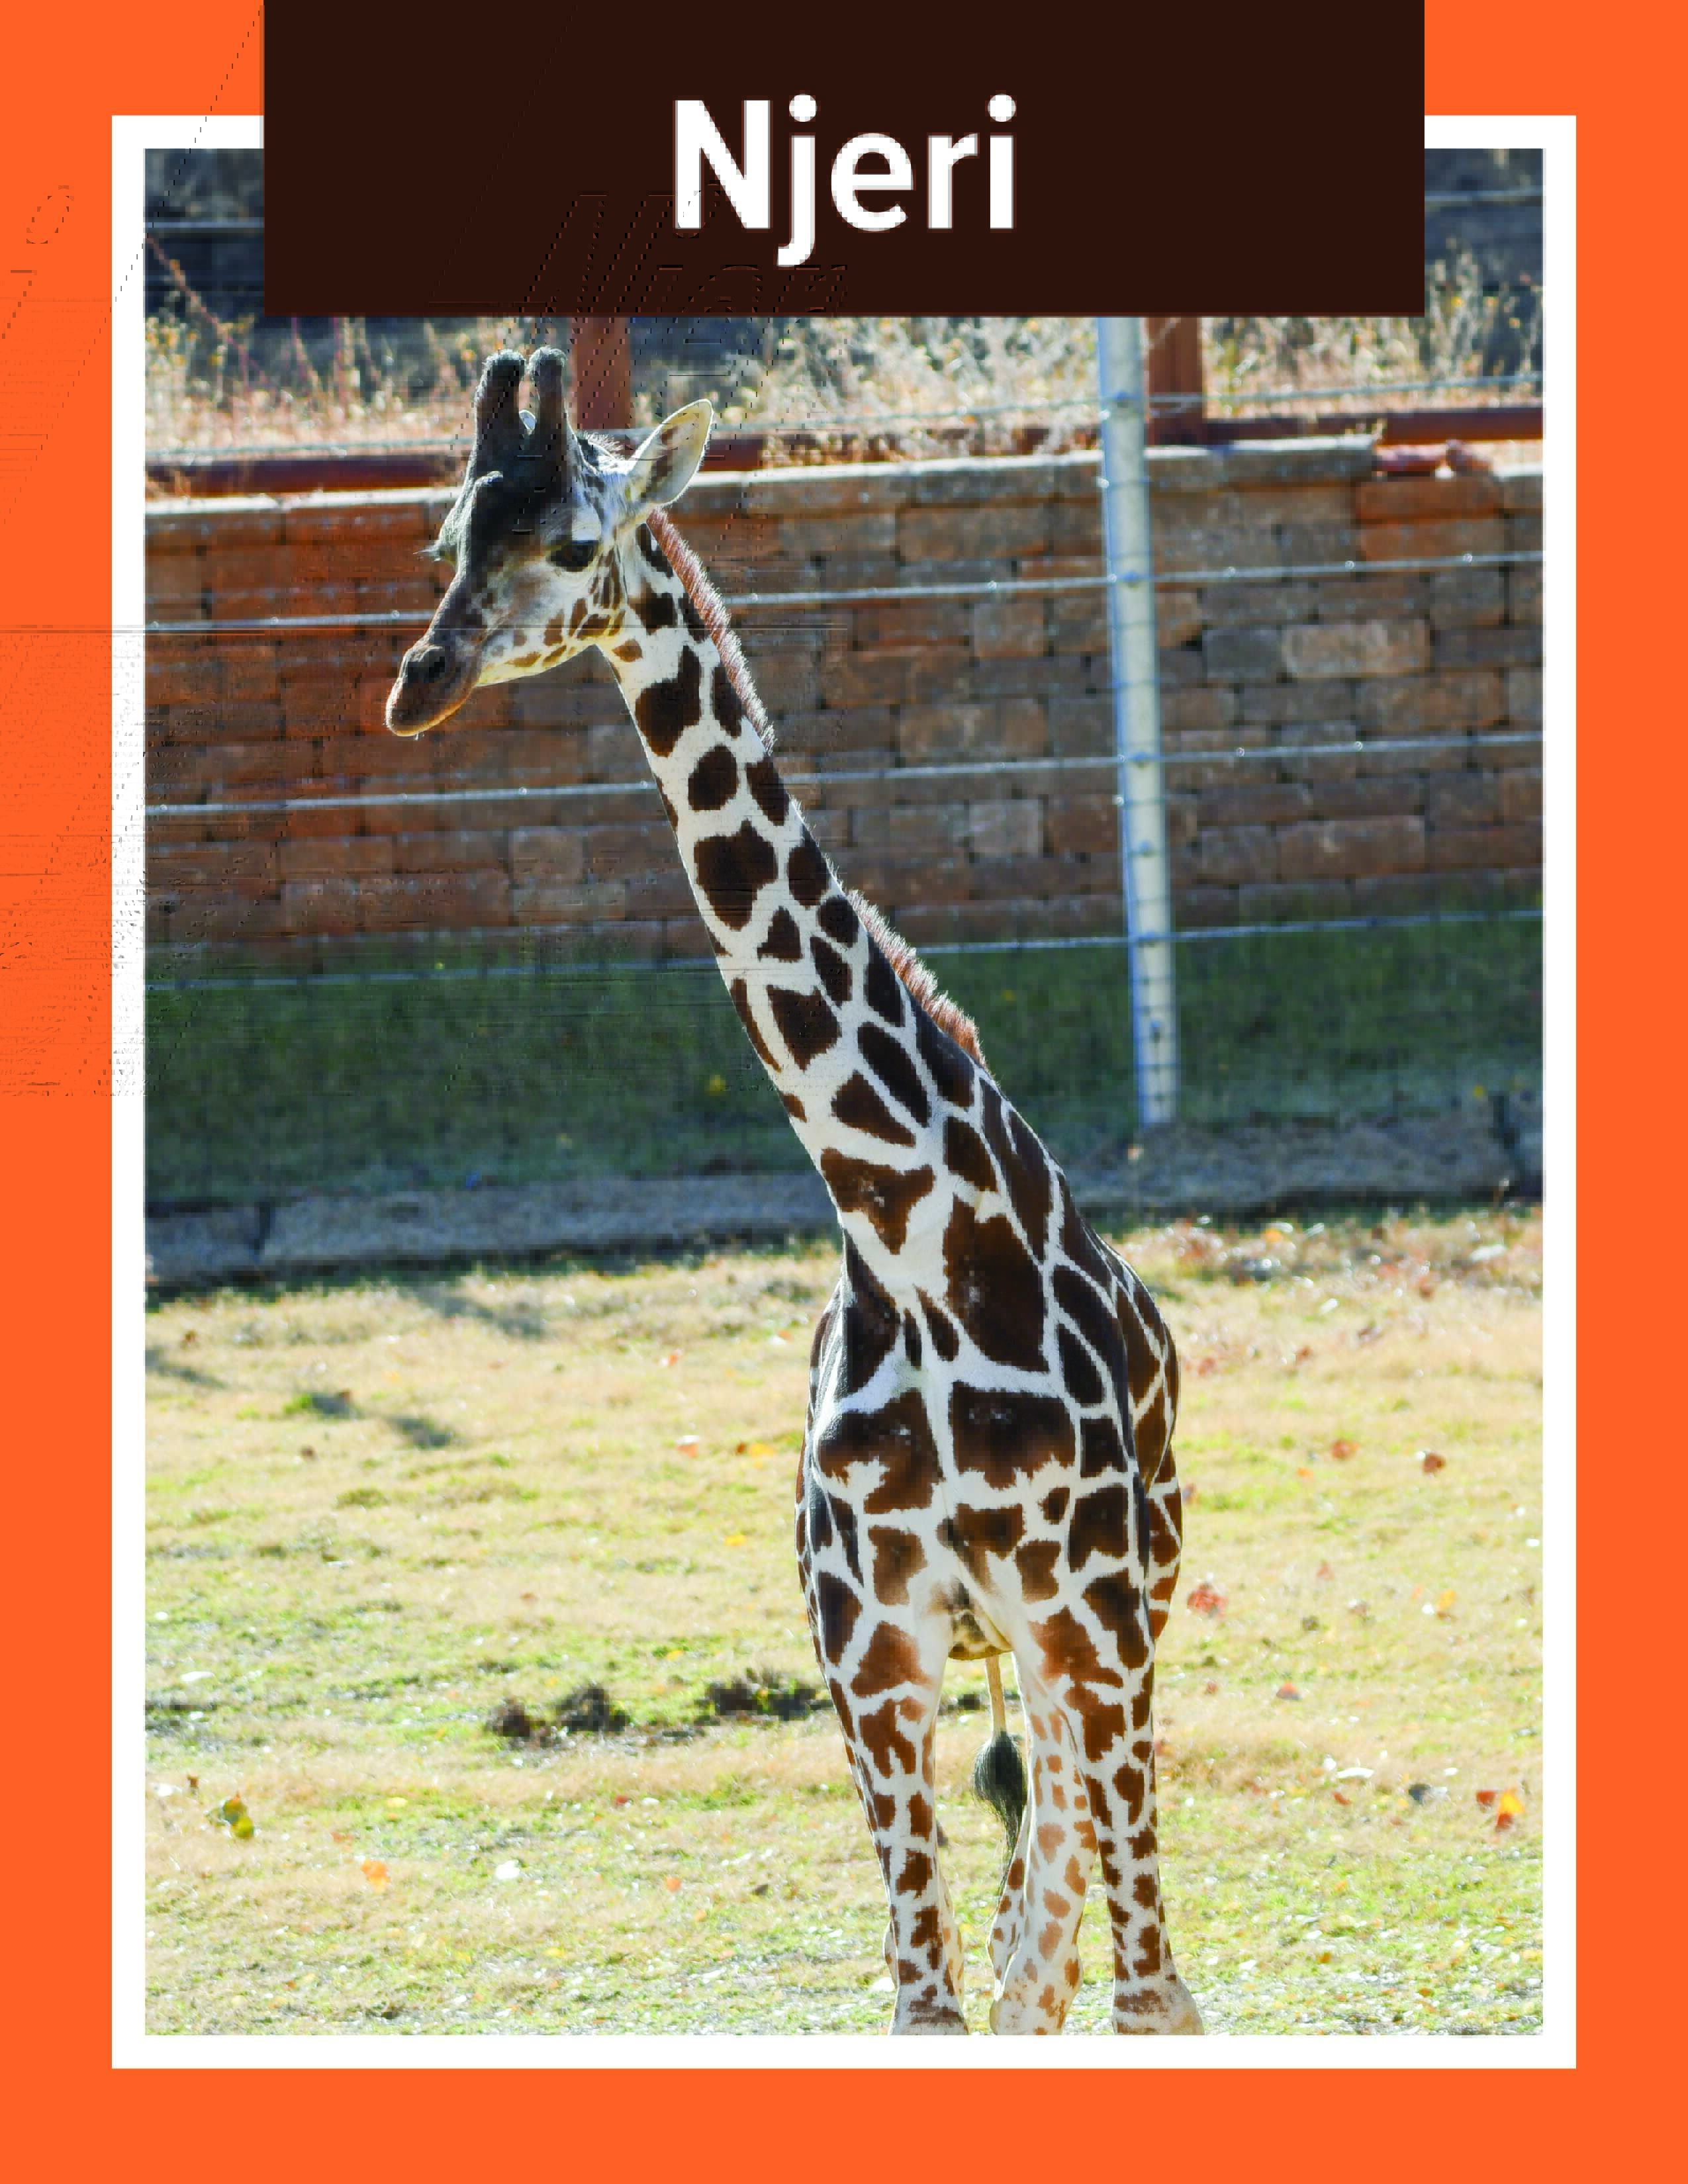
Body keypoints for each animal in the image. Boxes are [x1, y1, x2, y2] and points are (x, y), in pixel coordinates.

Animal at [385, 349, 1203, 2037]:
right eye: (446, 536)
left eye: (574, 543)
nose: (419, 679)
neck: (919, 1244)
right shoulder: (868, 1648)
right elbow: (932, 2003)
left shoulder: (1088, 1623)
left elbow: (1148, 1994)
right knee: (1033, 1938)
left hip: (1119, 1616)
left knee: (1076, 1923)